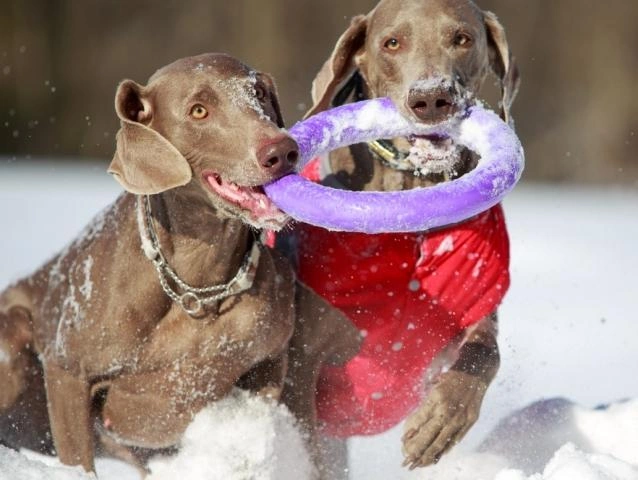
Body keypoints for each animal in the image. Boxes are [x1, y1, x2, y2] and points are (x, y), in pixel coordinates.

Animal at [0, 53, 360, 472]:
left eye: (258, 94)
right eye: (198, 111)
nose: (281, 151)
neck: (198, 288)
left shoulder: (267, 362)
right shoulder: (67, 370)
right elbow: (77, 457)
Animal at [296, 0, 520, 472]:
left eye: (462, 38)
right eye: (392, 43)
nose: (431, 98)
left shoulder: (476, 294)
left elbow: (484, 354)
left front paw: (440, 423)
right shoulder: (305, 355)